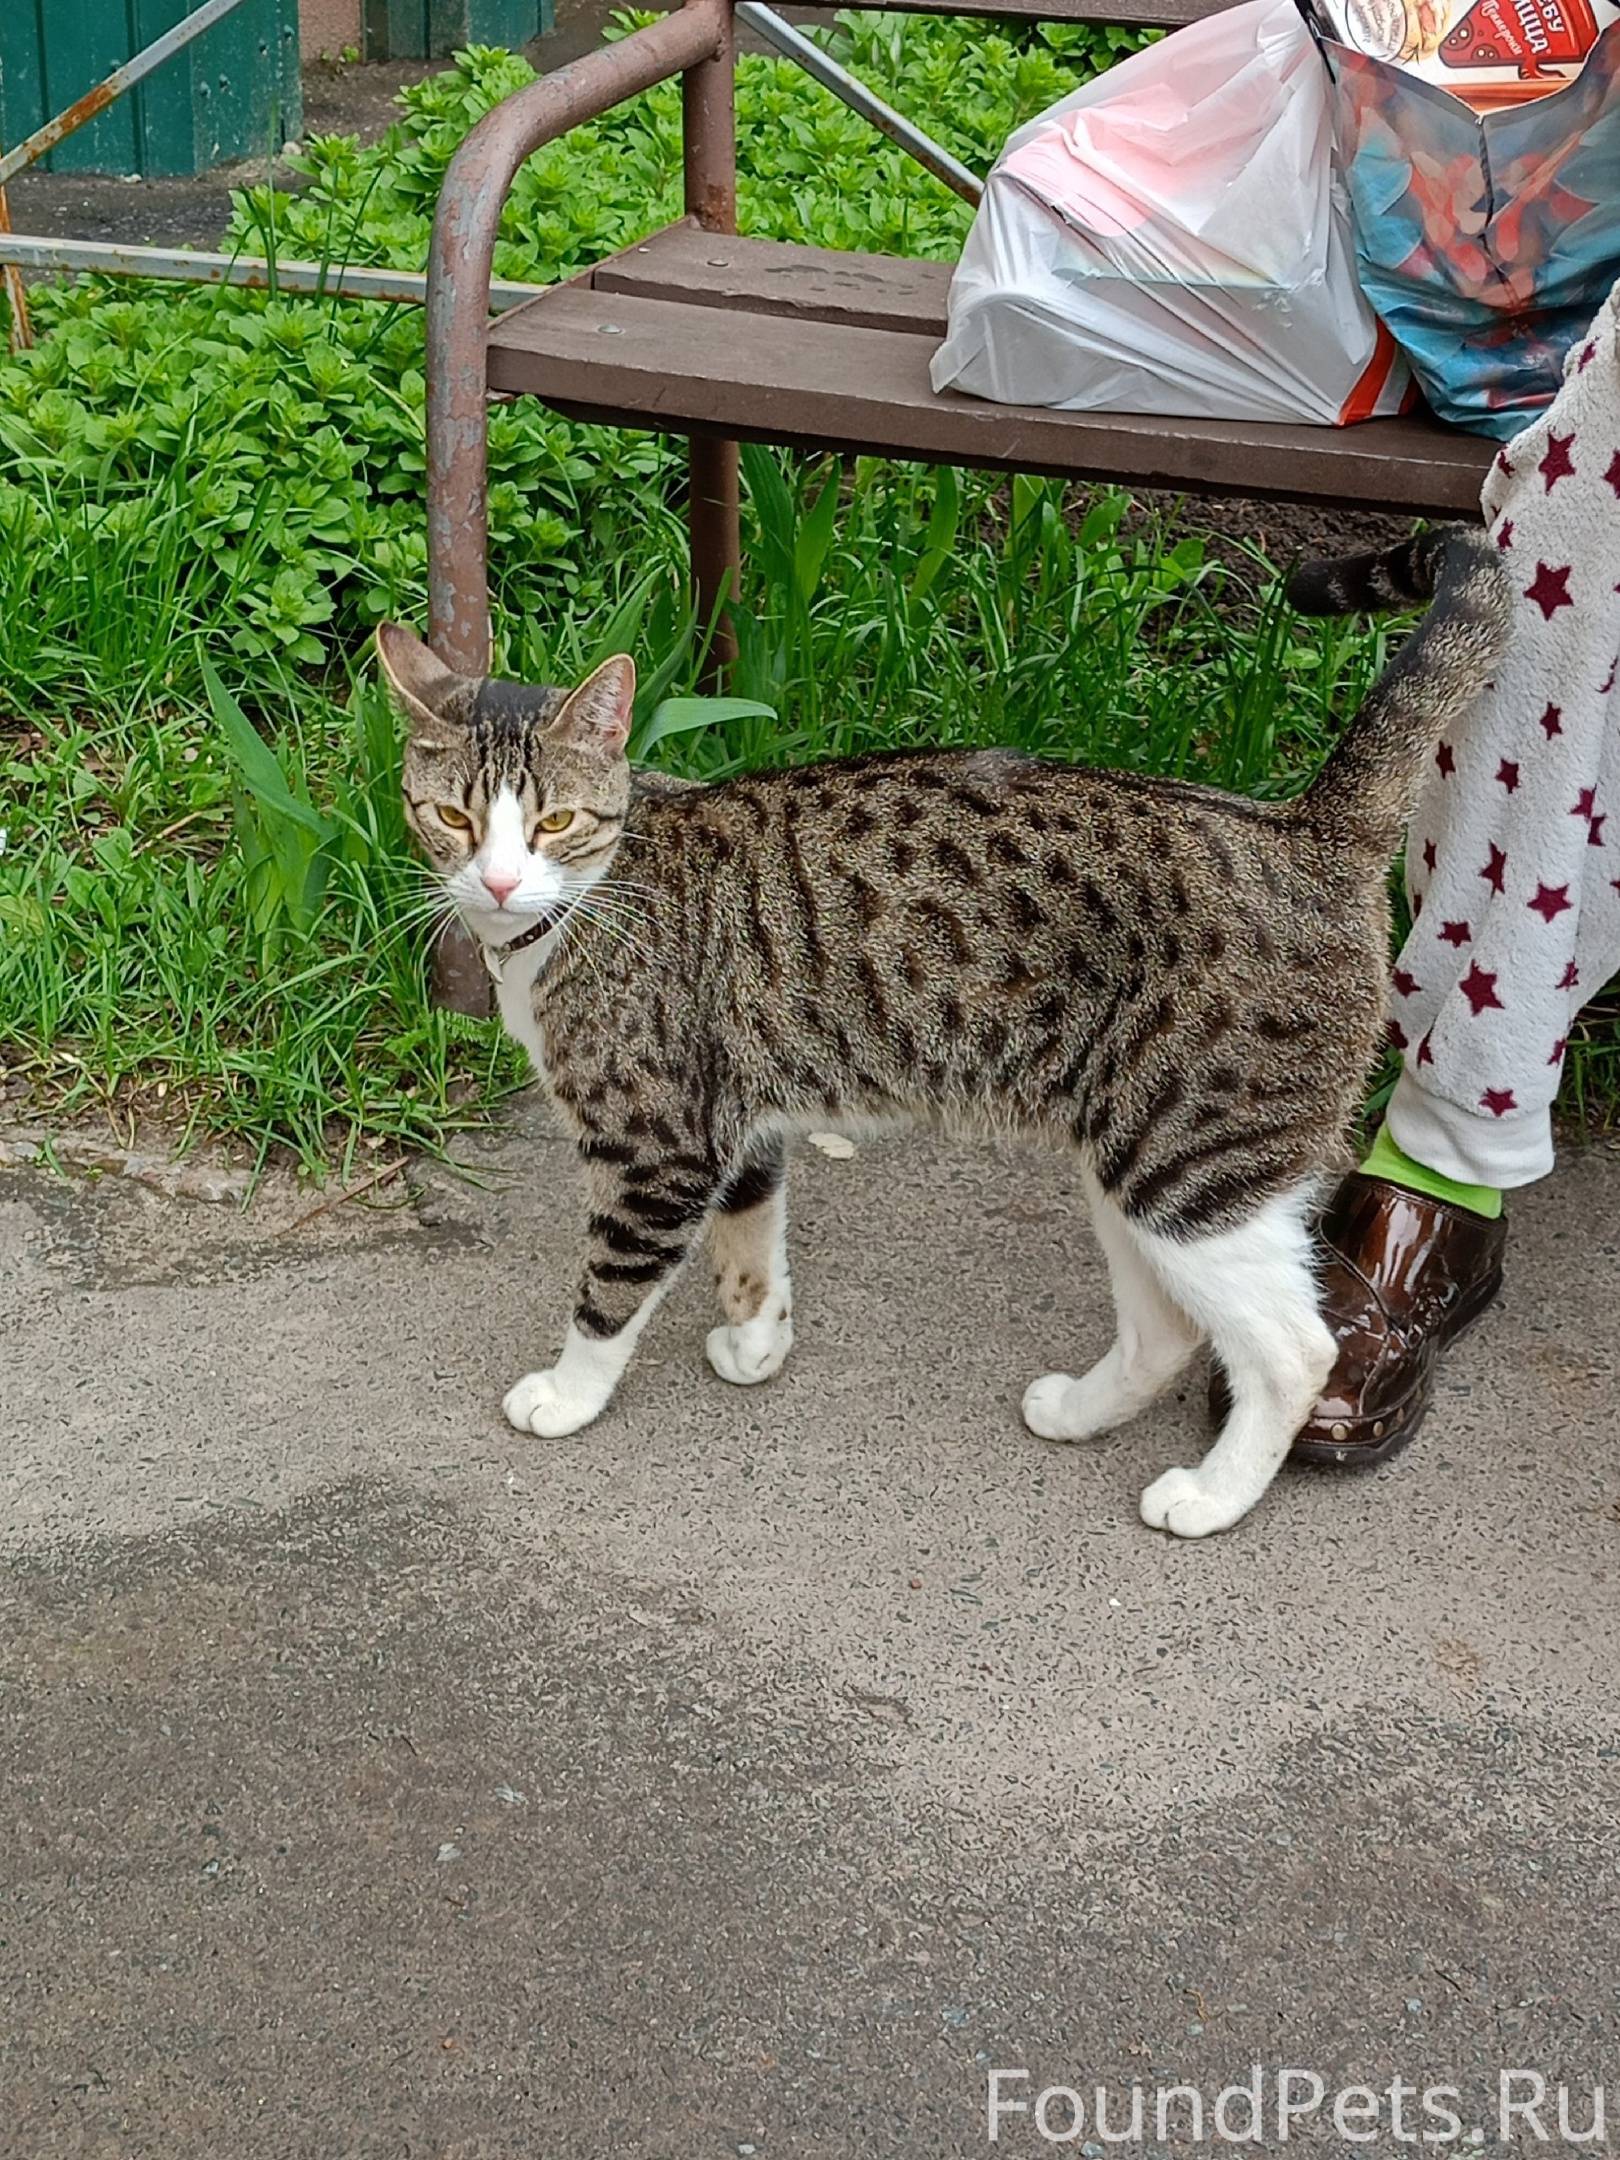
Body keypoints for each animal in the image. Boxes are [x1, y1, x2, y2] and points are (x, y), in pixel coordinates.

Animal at [380, 522, 1512, 1537]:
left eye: (555, 824)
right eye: (452, 819)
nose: (496, 881)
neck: (574, 912)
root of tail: (1305, 830)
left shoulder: (655, 1144)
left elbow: (610, 1289)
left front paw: (568, 1393)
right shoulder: (736, 1119)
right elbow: (752, 1242)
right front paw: (758, 1342)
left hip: (1194, 1166)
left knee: (1293, 1350)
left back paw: (1210, 1495)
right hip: (1130, 1157)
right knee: (1167, 1330)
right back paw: (1080, 1411)